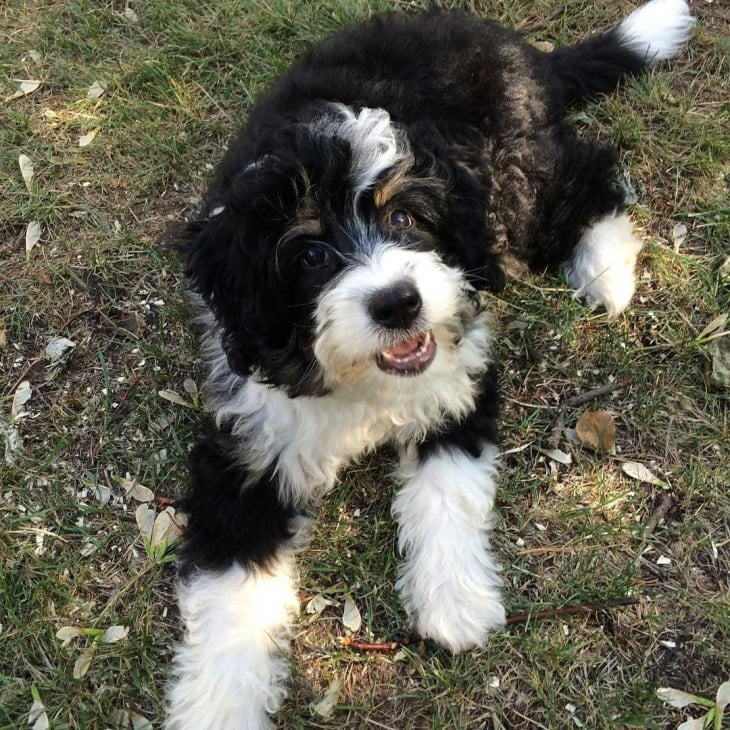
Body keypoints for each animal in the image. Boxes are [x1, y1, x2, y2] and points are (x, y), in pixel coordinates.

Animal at [162, 2, 692, 724]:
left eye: (406, 219)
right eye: (310, 255)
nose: (398, 303)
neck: (362, 381)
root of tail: (516, 49)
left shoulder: (457, 374)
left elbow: (447, 485)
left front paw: (455, 601)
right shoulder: (248, 440)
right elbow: (230, 596)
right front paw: (217, 706)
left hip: (512, 178)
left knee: (586, 170)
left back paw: (607, 267)